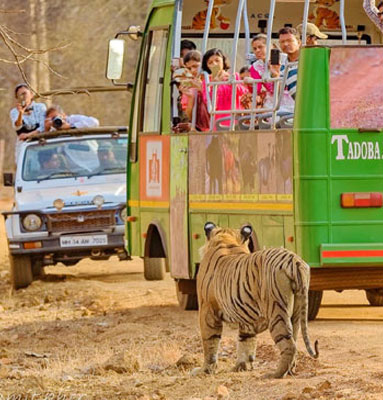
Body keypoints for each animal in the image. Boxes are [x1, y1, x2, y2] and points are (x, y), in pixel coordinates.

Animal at [192, 222, 320, 378]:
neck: (226, 240)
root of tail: (294, 260)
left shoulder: (207, 310)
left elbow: (209, 342)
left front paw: (204, 370)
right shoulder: (246, 317)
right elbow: (246, 341)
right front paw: (241, 366)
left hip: (277, 311)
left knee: (289, 345)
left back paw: (275, 374)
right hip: (297, 311)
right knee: (294, 340)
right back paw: (290, 371)